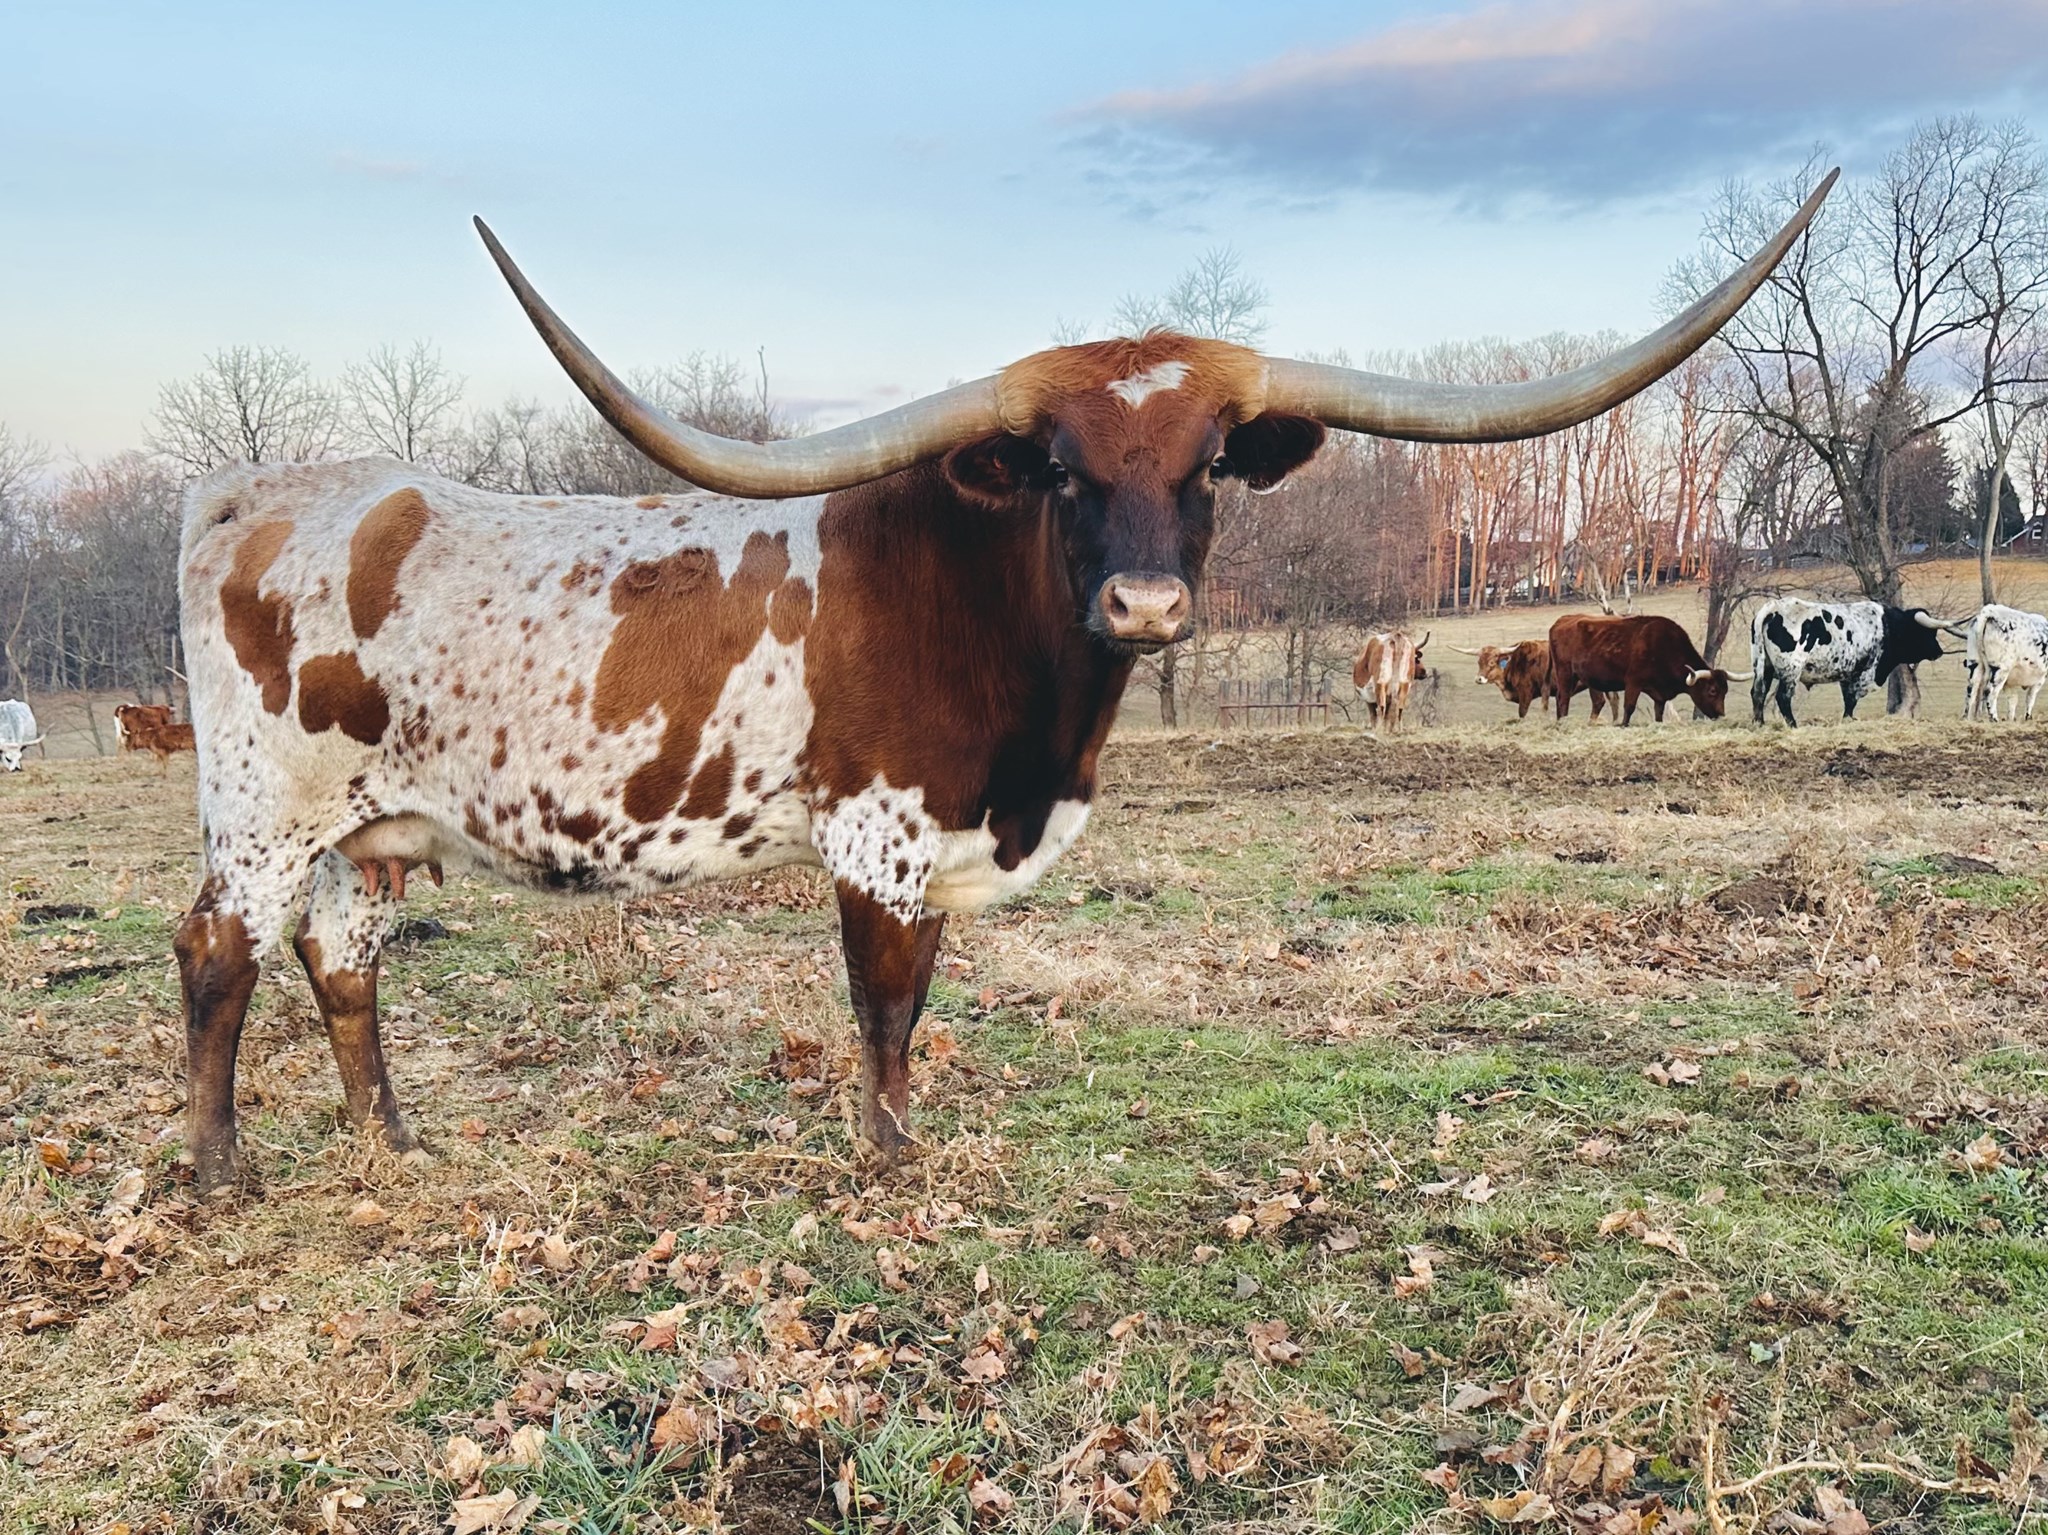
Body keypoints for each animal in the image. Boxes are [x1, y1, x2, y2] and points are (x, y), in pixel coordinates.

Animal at [1549, 614, 1742, 724]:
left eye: (1725, 690)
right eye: (1712, 690)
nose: (1721, 714)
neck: (1664, 645)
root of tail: (1562, 620)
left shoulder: (1659, 695)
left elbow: (1659, 713)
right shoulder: (1633, 683)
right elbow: (1629, 708)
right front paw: (1623, 725)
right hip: (1565, 673)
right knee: (1563, 699)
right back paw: (1563, 723)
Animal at [1748, 598, 1954, 725]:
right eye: (1927, 632)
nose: (1939, 651)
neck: (1888, 626)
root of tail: (1773, 608)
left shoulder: (1847, 674)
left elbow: (1848, 699)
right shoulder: (1865, 672)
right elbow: (1852, 700)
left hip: (1764, 667)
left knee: (1758, 693)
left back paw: (1760, 724)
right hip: (1791, 669)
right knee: (1782, 697)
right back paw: (1793, 726)